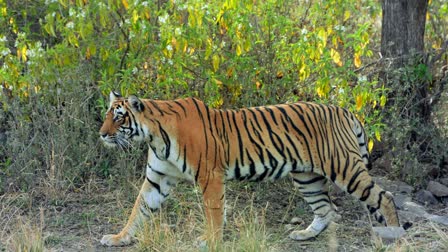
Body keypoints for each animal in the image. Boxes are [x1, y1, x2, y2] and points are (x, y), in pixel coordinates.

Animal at [100, 91, 400, 246]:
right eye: (107, 115)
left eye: (119, 117)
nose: (102, 134)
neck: (155, 136)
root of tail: (345, 111)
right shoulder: (157, 178)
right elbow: (138, 210)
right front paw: (118, 238)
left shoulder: (210, 177)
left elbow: (214, 214)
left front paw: (210, 241)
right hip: (307, 177)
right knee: (326, 209)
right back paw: (304, 235)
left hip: (345, 168)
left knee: (384, 197)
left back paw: (396, 235)